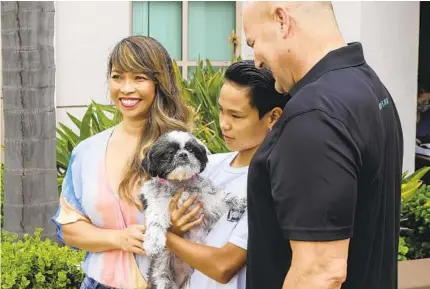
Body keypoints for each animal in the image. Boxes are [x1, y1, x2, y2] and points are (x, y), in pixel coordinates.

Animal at [139, 130, 247, 288]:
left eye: (190, 149)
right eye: (170, 152)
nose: (183, 154)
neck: (180, 183)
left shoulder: (207, 200)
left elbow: (223, 197)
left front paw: (240, 201)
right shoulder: (157, 203)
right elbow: (155, 222)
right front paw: (153, 243)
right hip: (161, 275)